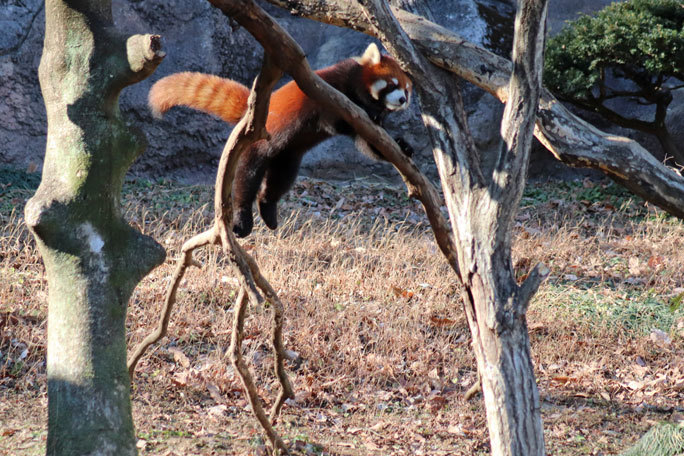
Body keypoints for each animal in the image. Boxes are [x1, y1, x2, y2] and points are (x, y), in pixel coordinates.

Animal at [148, 42, 412, 237]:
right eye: (392, 85)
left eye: (407, 89)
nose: (402, 100)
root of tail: (251, 115)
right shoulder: (331, 90)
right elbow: (332, 119)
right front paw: (369, 113)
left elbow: (371, 143)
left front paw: (403, 146)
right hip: (258, 144)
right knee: (246, 179)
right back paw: (243, 217)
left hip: (288, 156)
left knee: (279, 182)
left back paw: (269, 210)